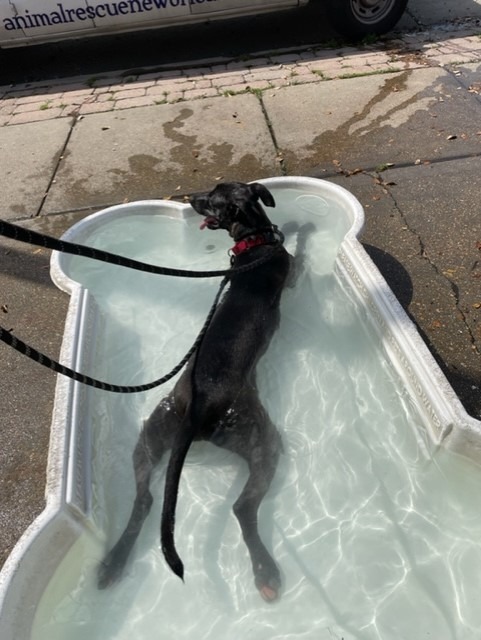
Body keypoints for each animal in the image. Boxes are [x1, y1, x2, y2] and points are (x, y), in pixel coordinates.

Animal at [98, 182, 288, 604]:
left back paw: (113, 563)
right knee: (243, 508)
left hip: (152, 434)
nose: (188, 197)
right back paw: (265, 572)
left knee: (144, 500)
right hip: (262, 440)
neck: (255, 241)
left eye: (212, 198)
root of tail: (200, 406)